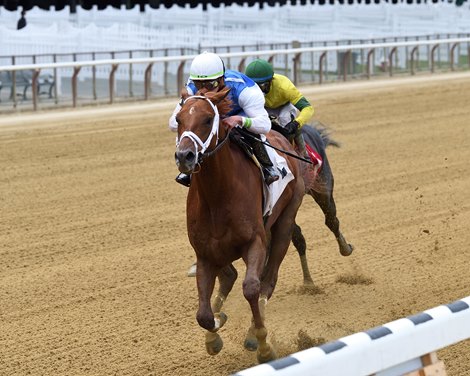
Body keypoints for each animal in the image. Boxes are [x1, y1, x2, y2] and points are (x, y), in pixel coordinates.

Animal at [175, 86, 304, 362]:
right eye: (178, 119)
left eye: (207, 119)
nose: (184, 156)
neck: (217, 195)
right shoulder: (205, 254)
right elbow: (203, 314)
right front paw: (214, 332)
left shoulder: (255, 242)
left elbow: (252, 288)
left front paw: (263, 345)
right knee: (232, 277)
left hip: (285, 221)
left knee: (268, 280)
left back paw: (253, 333)